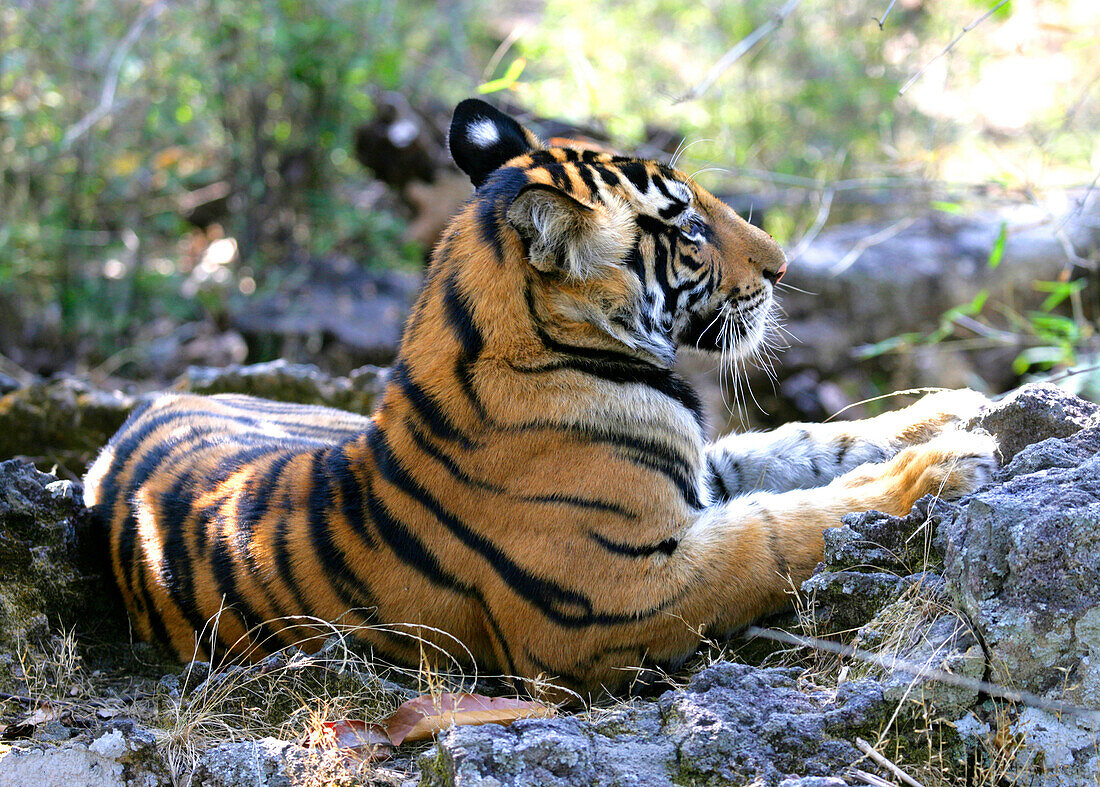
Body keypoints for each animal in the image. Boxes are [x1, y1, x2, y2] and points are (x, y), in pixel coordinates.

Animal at [83, 98, 998, 695]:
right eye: (690, 228)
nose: (781, 267)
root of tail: (144, 407)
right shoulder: (623, 592)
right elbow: (778, 530)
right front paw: (940, 467)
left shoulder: (697, 472)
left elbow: (800, 444)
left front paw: (946, 412)